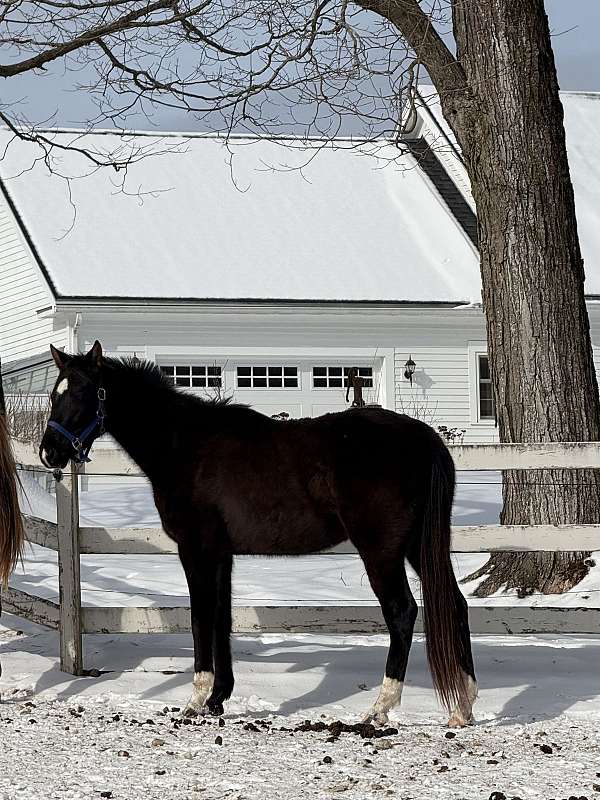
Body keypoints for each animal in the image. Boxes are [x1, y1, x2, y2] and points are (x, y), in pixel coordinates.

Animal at [39, 340, 476, 728]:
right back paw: (464, 707)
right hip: (418, 546)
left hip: (381, 551)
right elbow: (222, 618)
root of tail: (425, 440)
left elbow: (200, 618)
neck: (185, 447)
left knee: (402, 613)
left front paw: (195, 701)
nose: (49, 452)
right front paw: (218, 698)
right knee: (455, 604)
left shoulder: (196, 550)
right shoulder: (221, 553)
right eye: (55, 394)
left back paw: (380, 708)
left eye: (81, 392)